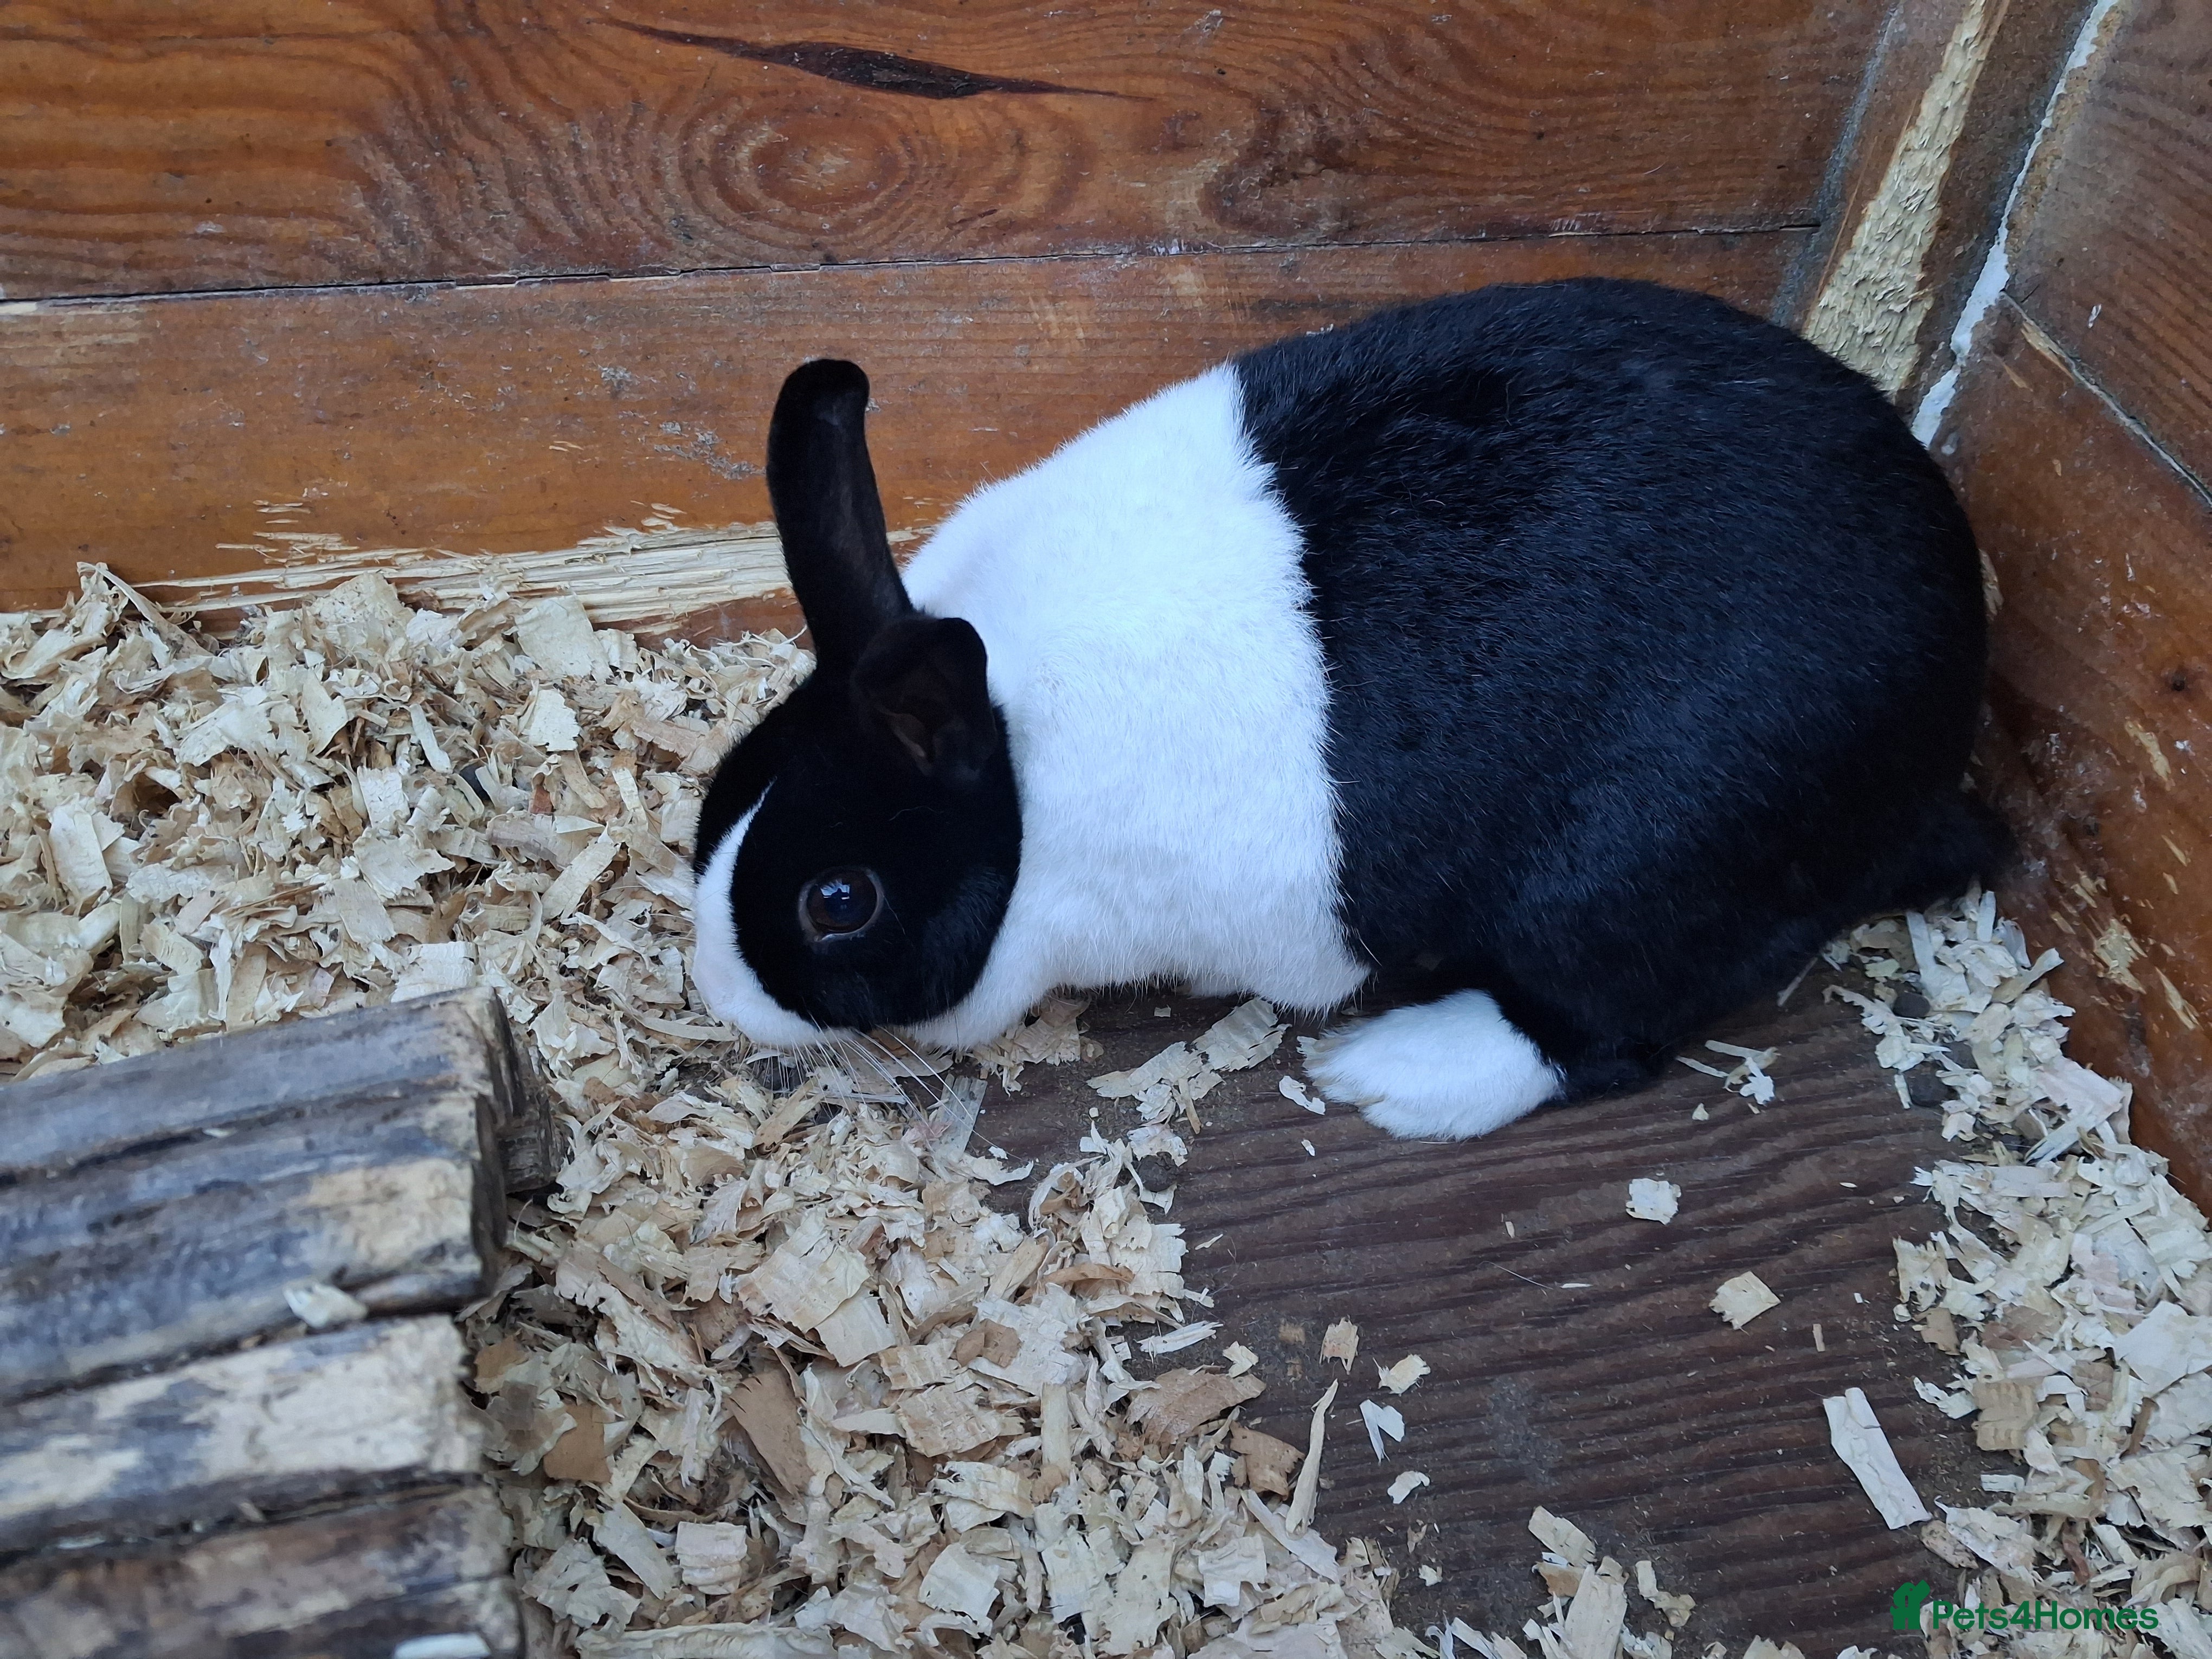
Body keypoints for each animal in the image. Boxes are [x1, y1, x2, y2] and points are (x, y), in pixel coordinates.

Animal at [689, 277, 2004, 1139]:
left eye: (837, 901)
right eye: (724, 786)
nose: (721, 996)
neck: (1018, 766)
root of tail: (1948, 734)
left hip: (1632, 878)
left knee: (1608, 1029)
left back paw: (1393, 1075)